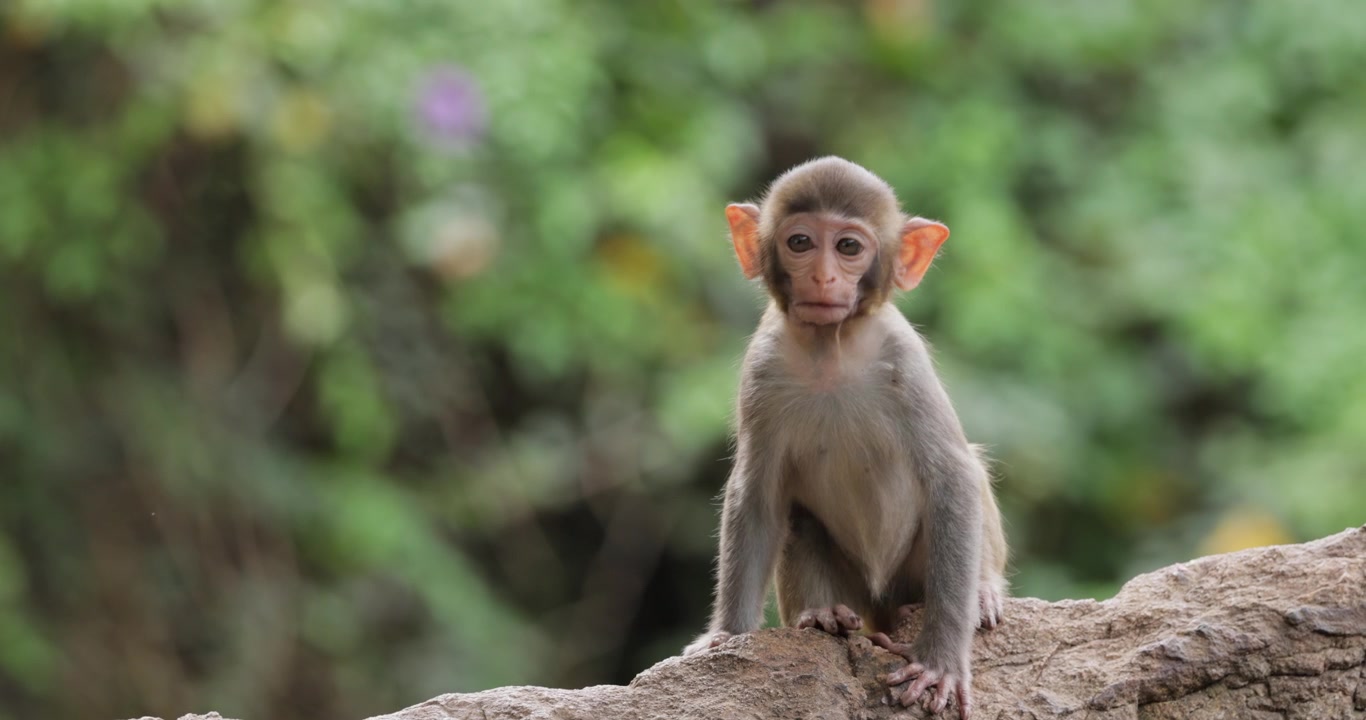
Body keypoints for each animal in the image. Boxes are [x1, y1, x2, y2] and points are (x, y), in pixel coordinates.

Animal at [683, 157, 1008, 719]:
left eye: (849, 247)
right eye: (800, 242)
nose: (823, 275)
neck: (830, 351)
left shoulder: (905, 362)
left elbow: (953, 478)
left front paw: (940, 663)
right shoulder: (762, 370)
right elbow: (758, 495)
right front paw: (726, 635)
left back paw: (983, 589)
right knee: (799, 518)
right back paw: (825, 615)